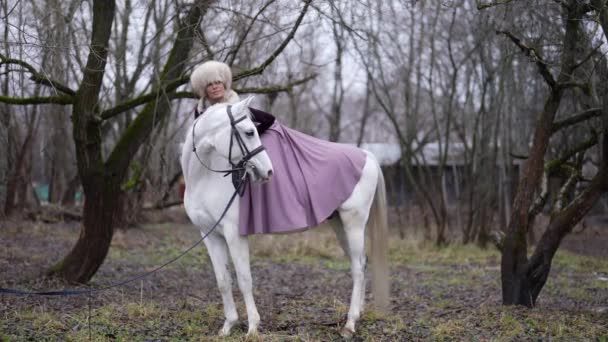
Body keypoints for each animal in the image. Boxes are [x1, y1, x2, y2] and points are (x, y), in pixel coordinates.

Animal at [182, 96, 390, 336]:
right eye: (249, 133)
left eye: (254, 130)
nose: (268, 171)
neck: (206, 179)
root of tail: (368, 156)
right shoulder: (209, 234)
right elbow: (223, 280)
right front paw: (228, 326)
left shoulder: (234, 234)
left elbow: (244, 279)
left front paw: (253, 328)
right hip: (340, 224)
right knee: (361, 263)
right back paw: (359, 313)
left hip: (354, 223)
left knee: (357, 268)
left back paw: (350, 323)